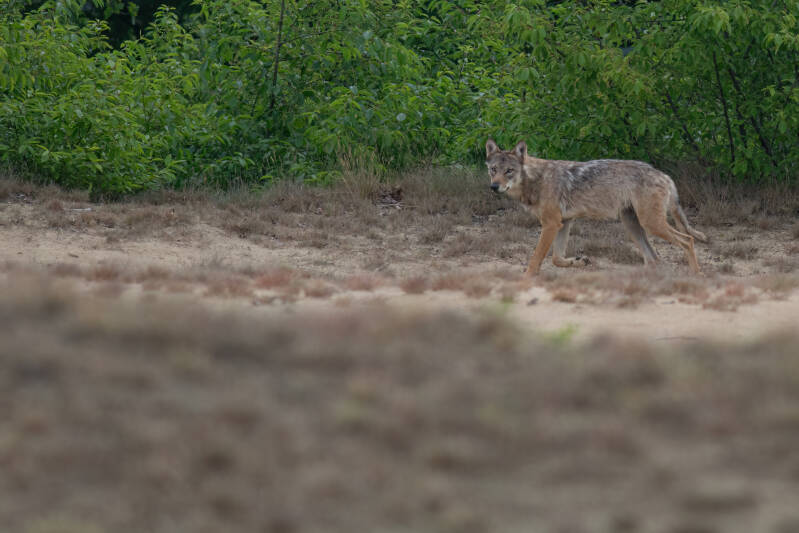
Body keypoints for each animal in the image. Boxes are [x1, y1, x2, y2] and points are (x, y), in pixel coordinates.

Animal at [485, 139, 707, 276]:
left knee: (687, 240)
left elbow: (535, 259)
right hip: (633, 226)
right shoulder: (564, 223)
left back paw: (696, 274)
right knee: (654, 259)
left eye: (509, 171)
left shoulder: (551, 224)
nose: (494, 187)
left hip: (651, 225)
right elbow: (557, 259)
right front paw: (579, 261)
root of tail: (664, 175)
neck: (536, 180)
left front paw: (526, 280)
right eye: (493, 170)